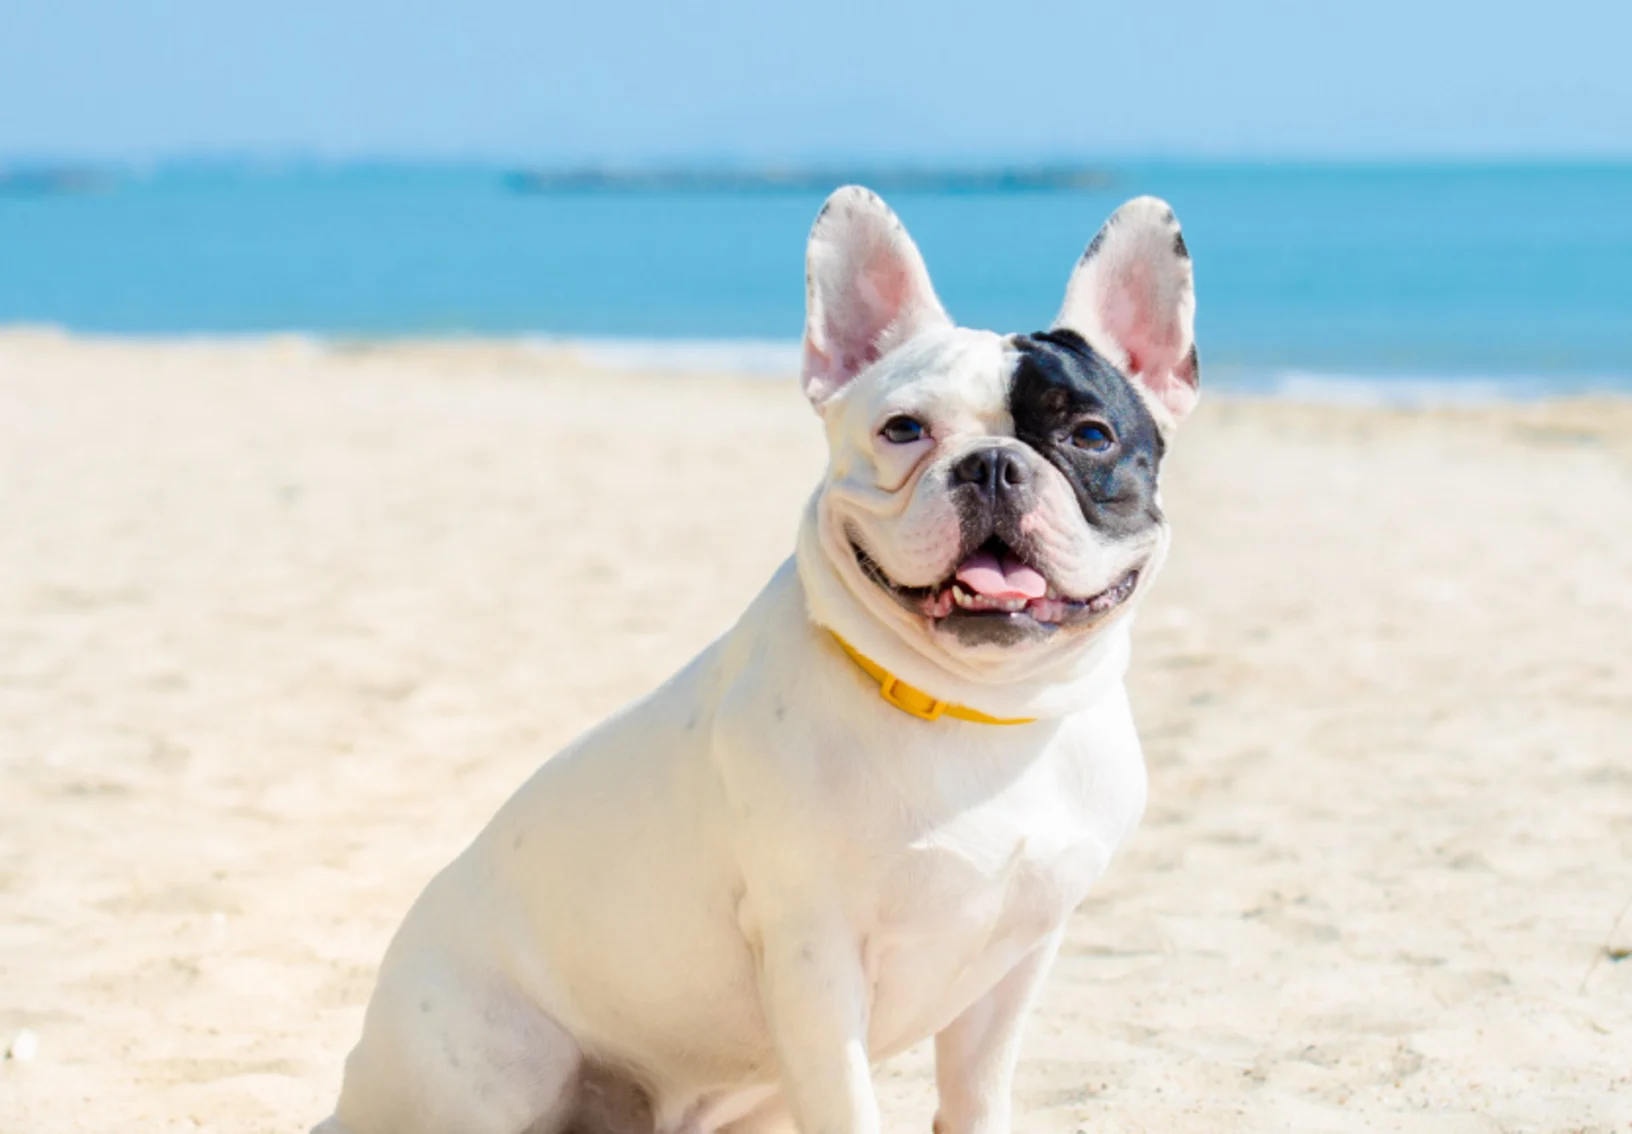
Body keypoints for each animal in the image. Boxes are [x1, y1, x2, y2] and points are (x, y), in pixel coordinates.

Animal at [314, 186, 1201, 1134]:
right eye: (904, 430)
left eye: (1092, 435)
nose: (993, 464)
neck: (974, 709)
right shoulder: (815, 960)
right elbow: (850, 1110)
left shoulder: (1018, 957)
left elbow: (975, 1096)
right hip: (496, 1070)